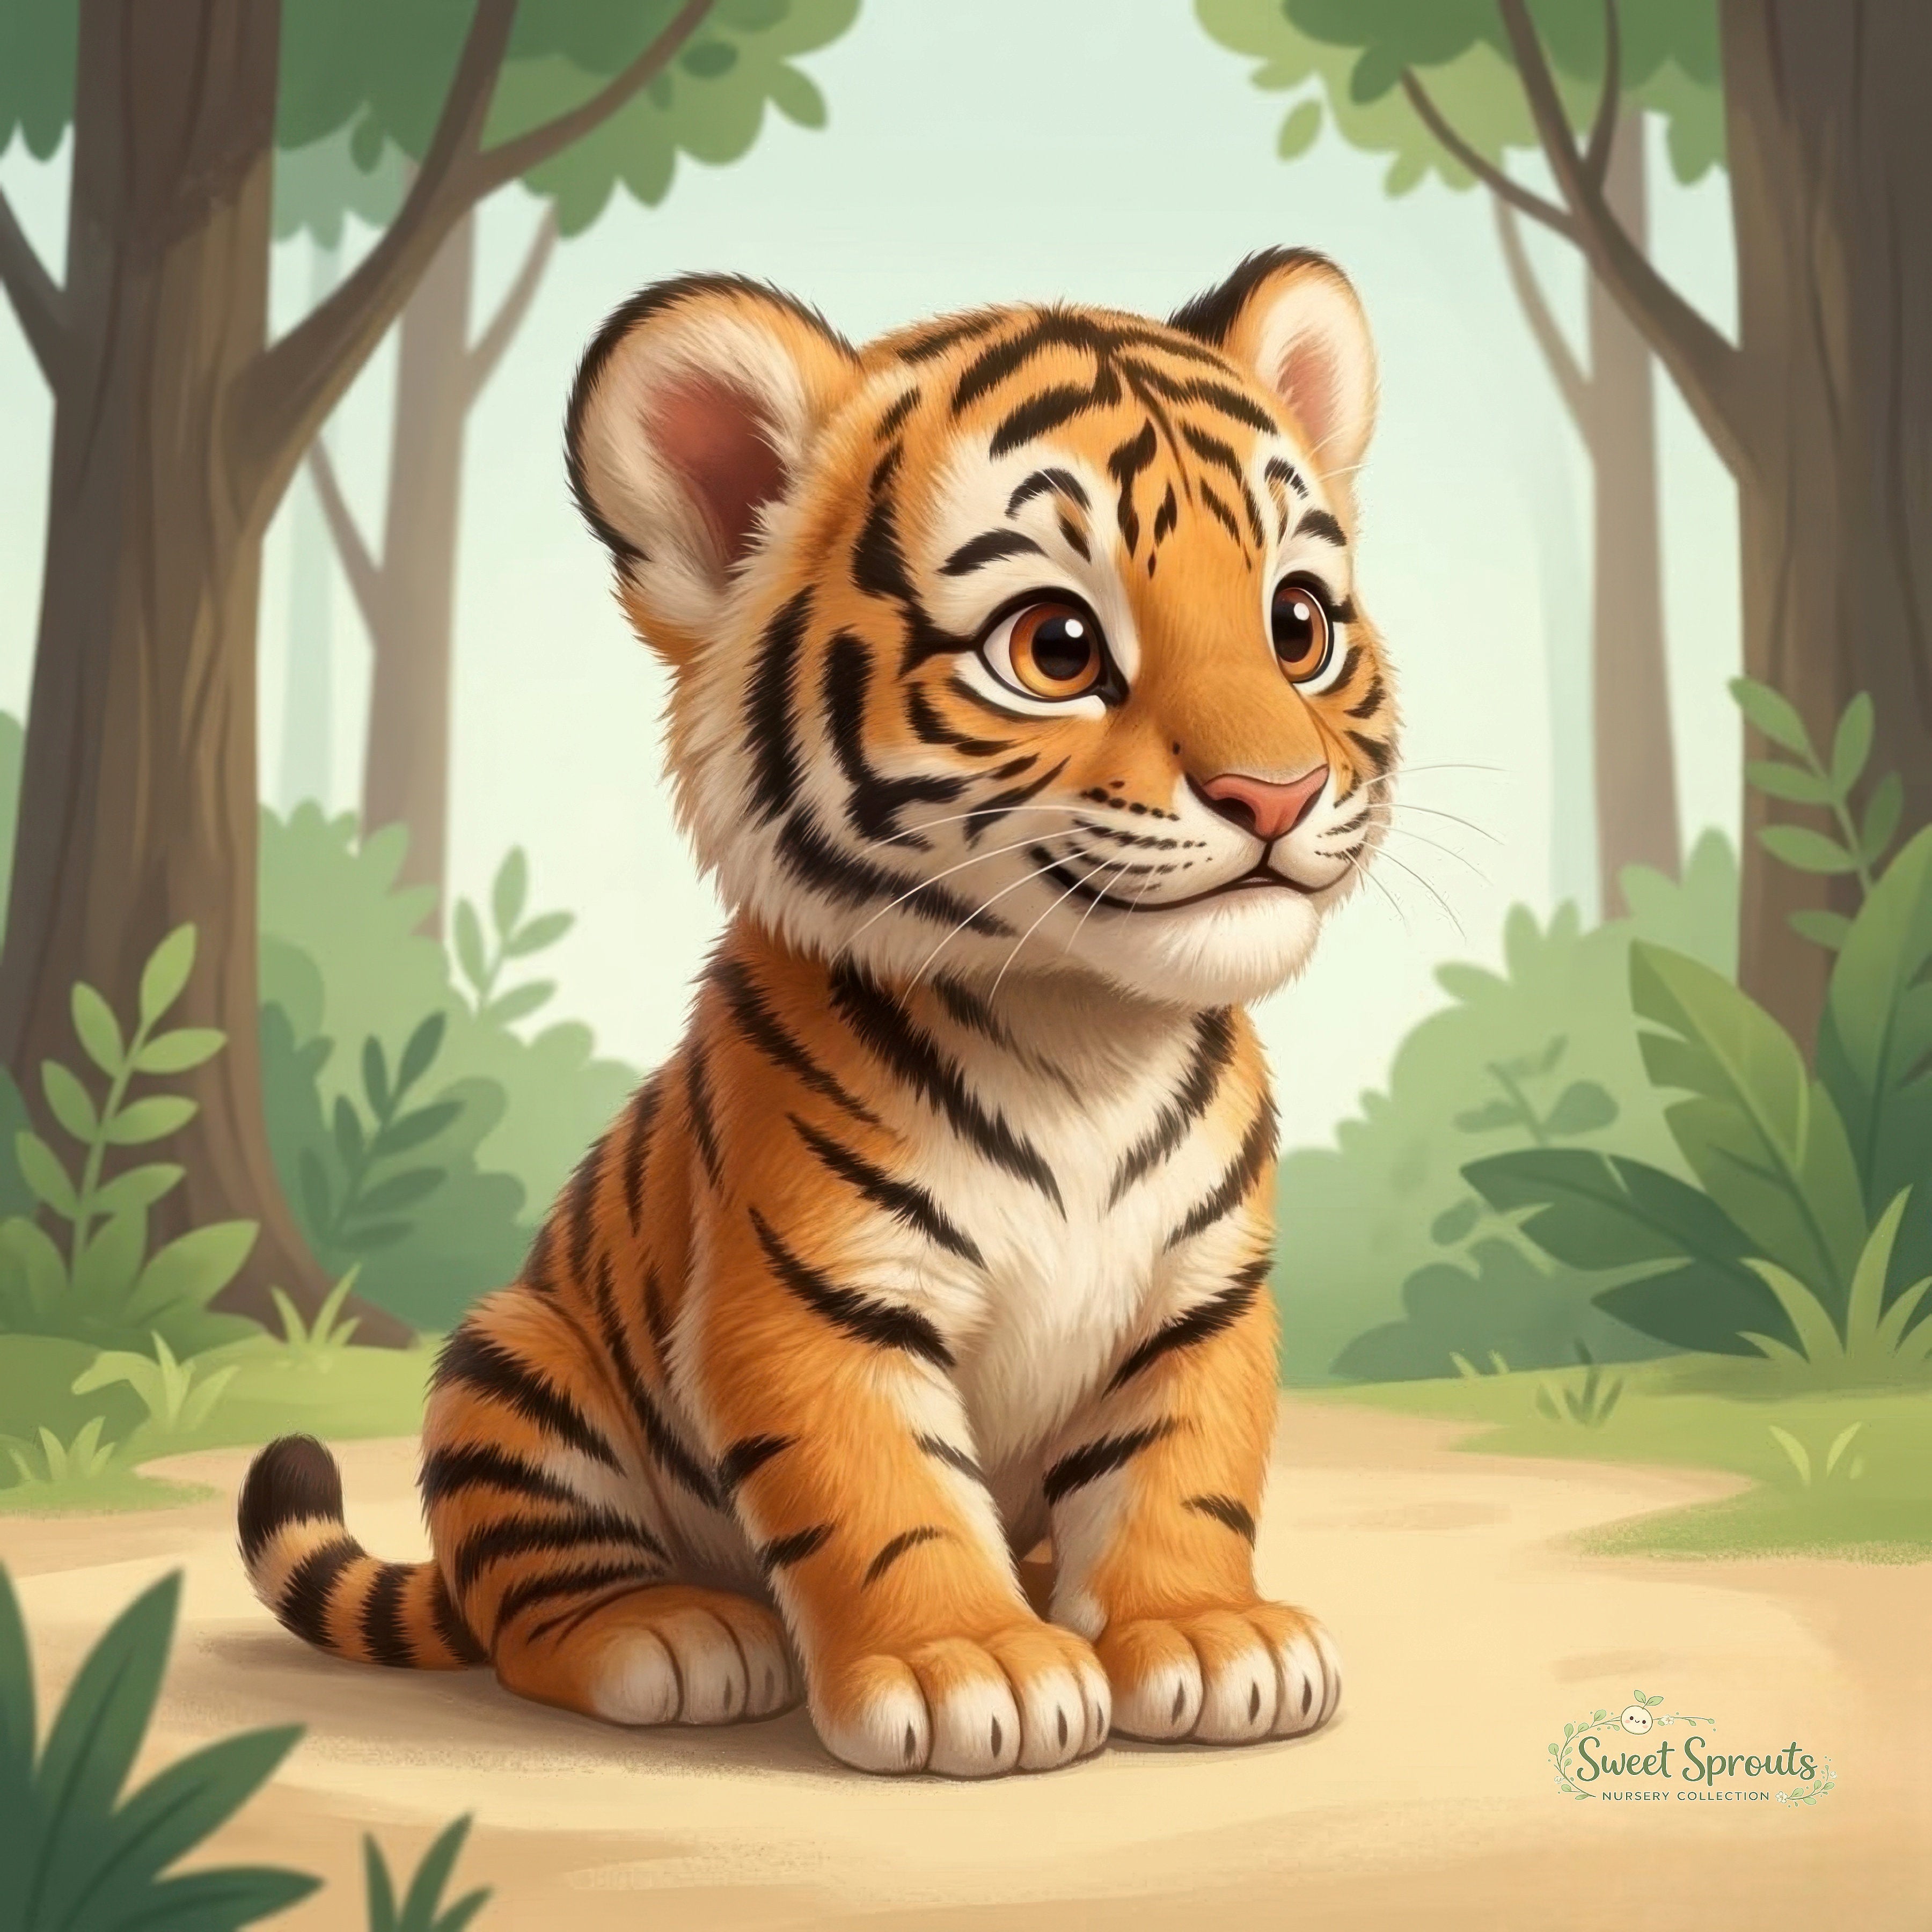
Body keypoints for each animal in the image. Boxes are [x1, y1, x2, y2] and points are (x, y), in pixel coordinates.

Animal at [239, 247, 1396, 1779]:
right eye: (1056, 645)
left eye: (1298, 626)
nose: (1276, 791)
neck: (1086, 1029)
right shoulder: (811, 1302)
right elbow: (887, 1493)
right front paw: (976, 1668)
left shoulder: (1197, 1301)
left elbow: (1180, 1474)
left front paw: (1208, 1636)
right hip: (516, 1368)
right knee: (527, 1601)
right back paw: (671, 1633)